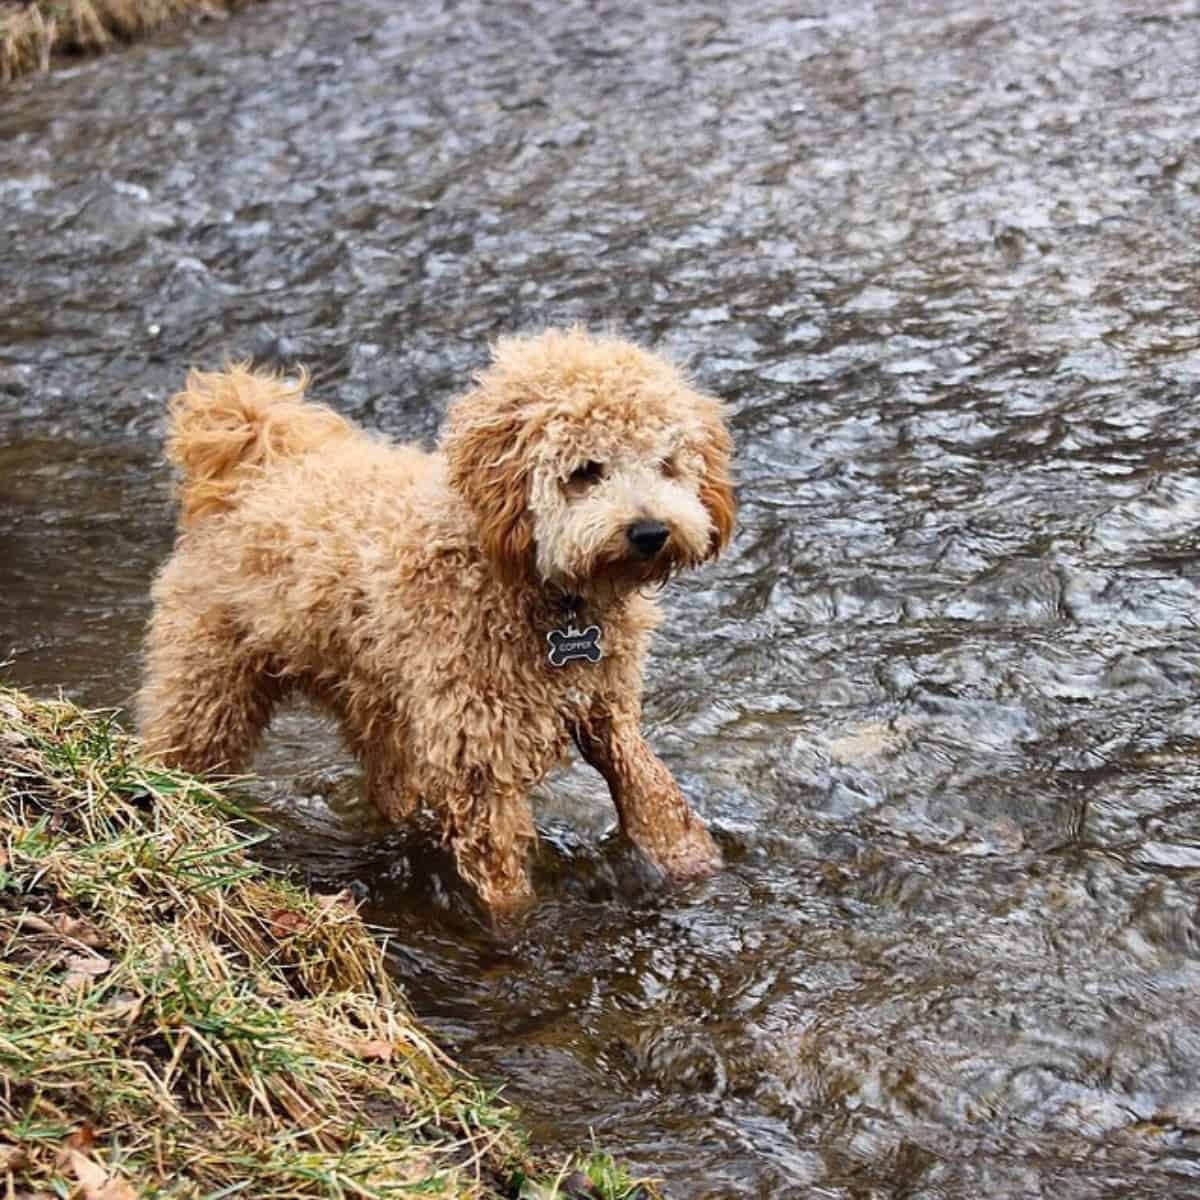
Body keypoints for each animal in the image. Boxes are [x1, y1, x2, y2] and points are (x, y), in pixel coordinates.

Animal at [144, 326, 734, 907]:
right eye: (585, 471)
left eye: (667, 465)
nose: (650, 531)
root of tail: (250, 470)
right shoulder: (478, 756)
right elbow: (504, 882)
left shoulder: (605, 703)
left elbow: (649, 784)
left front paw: (689, 861)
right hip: (209, 683)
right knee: (182, 748)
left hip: (380, 709)